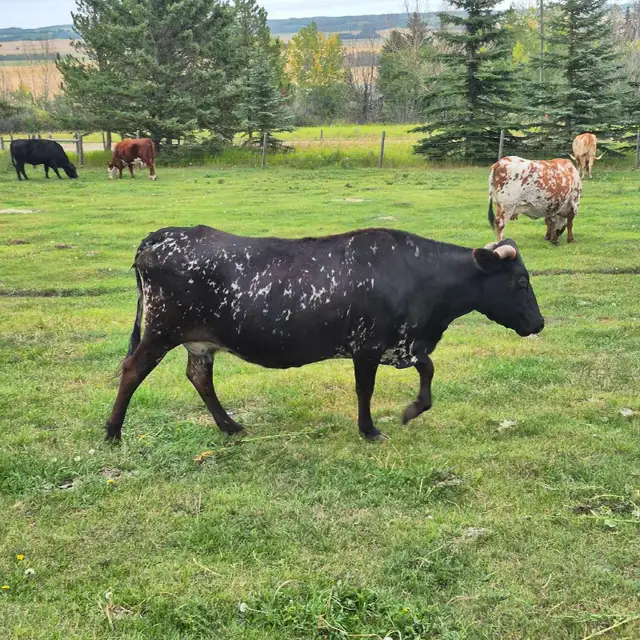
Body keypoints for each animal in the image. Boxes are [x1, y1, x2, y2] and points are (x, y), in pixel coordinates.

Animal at [105, 226, 544, 443]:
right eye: (521, 282)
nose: (539, 323)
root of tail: (160, 237)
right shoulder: (368, 345)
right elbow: (366, 389)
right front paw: (370, 430)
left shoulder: (404, 344)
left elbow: (428, 370)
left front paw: (413, 409)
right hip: (160, 331)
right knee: (131, 371)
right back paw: (112, 432)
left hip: (199, 341)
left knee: (199, 377)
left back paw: (230, 427)